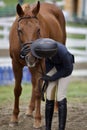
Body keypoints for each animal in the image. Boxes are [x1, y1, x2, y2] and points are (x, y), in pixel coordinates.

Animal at [8, 0, 66, 129]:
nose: (31, 56)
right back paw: (30, 109)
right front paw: (14, 118)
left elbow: (38, 91)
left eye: (38, 30)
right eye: (20, 30)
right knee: (34, 83)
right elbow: (17, 90)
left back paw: (55, 108)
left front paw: (38, 120)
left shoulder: (41, 63)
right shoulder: (16, 64)